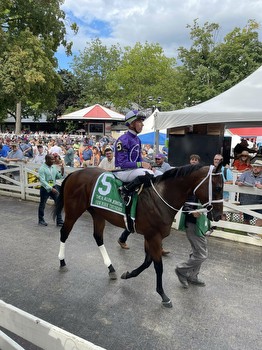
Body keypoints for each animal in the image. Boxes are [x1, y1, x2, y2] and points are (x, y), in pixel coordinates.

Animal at [55, 163, 223, 308]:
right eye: (218, 187)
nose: (218, 215)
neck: (161, 196)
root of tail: (75, 173)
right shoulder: (153, 236)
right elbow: (158, 266)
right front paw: (163, 296)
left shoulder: (150, 236)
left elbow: (147, 262)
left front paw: (128, 274)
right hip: (74, 210)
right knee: (64, 233)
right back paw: (62, 262)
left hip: (98, 213)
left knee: (98, 237)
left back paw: (111, 268)